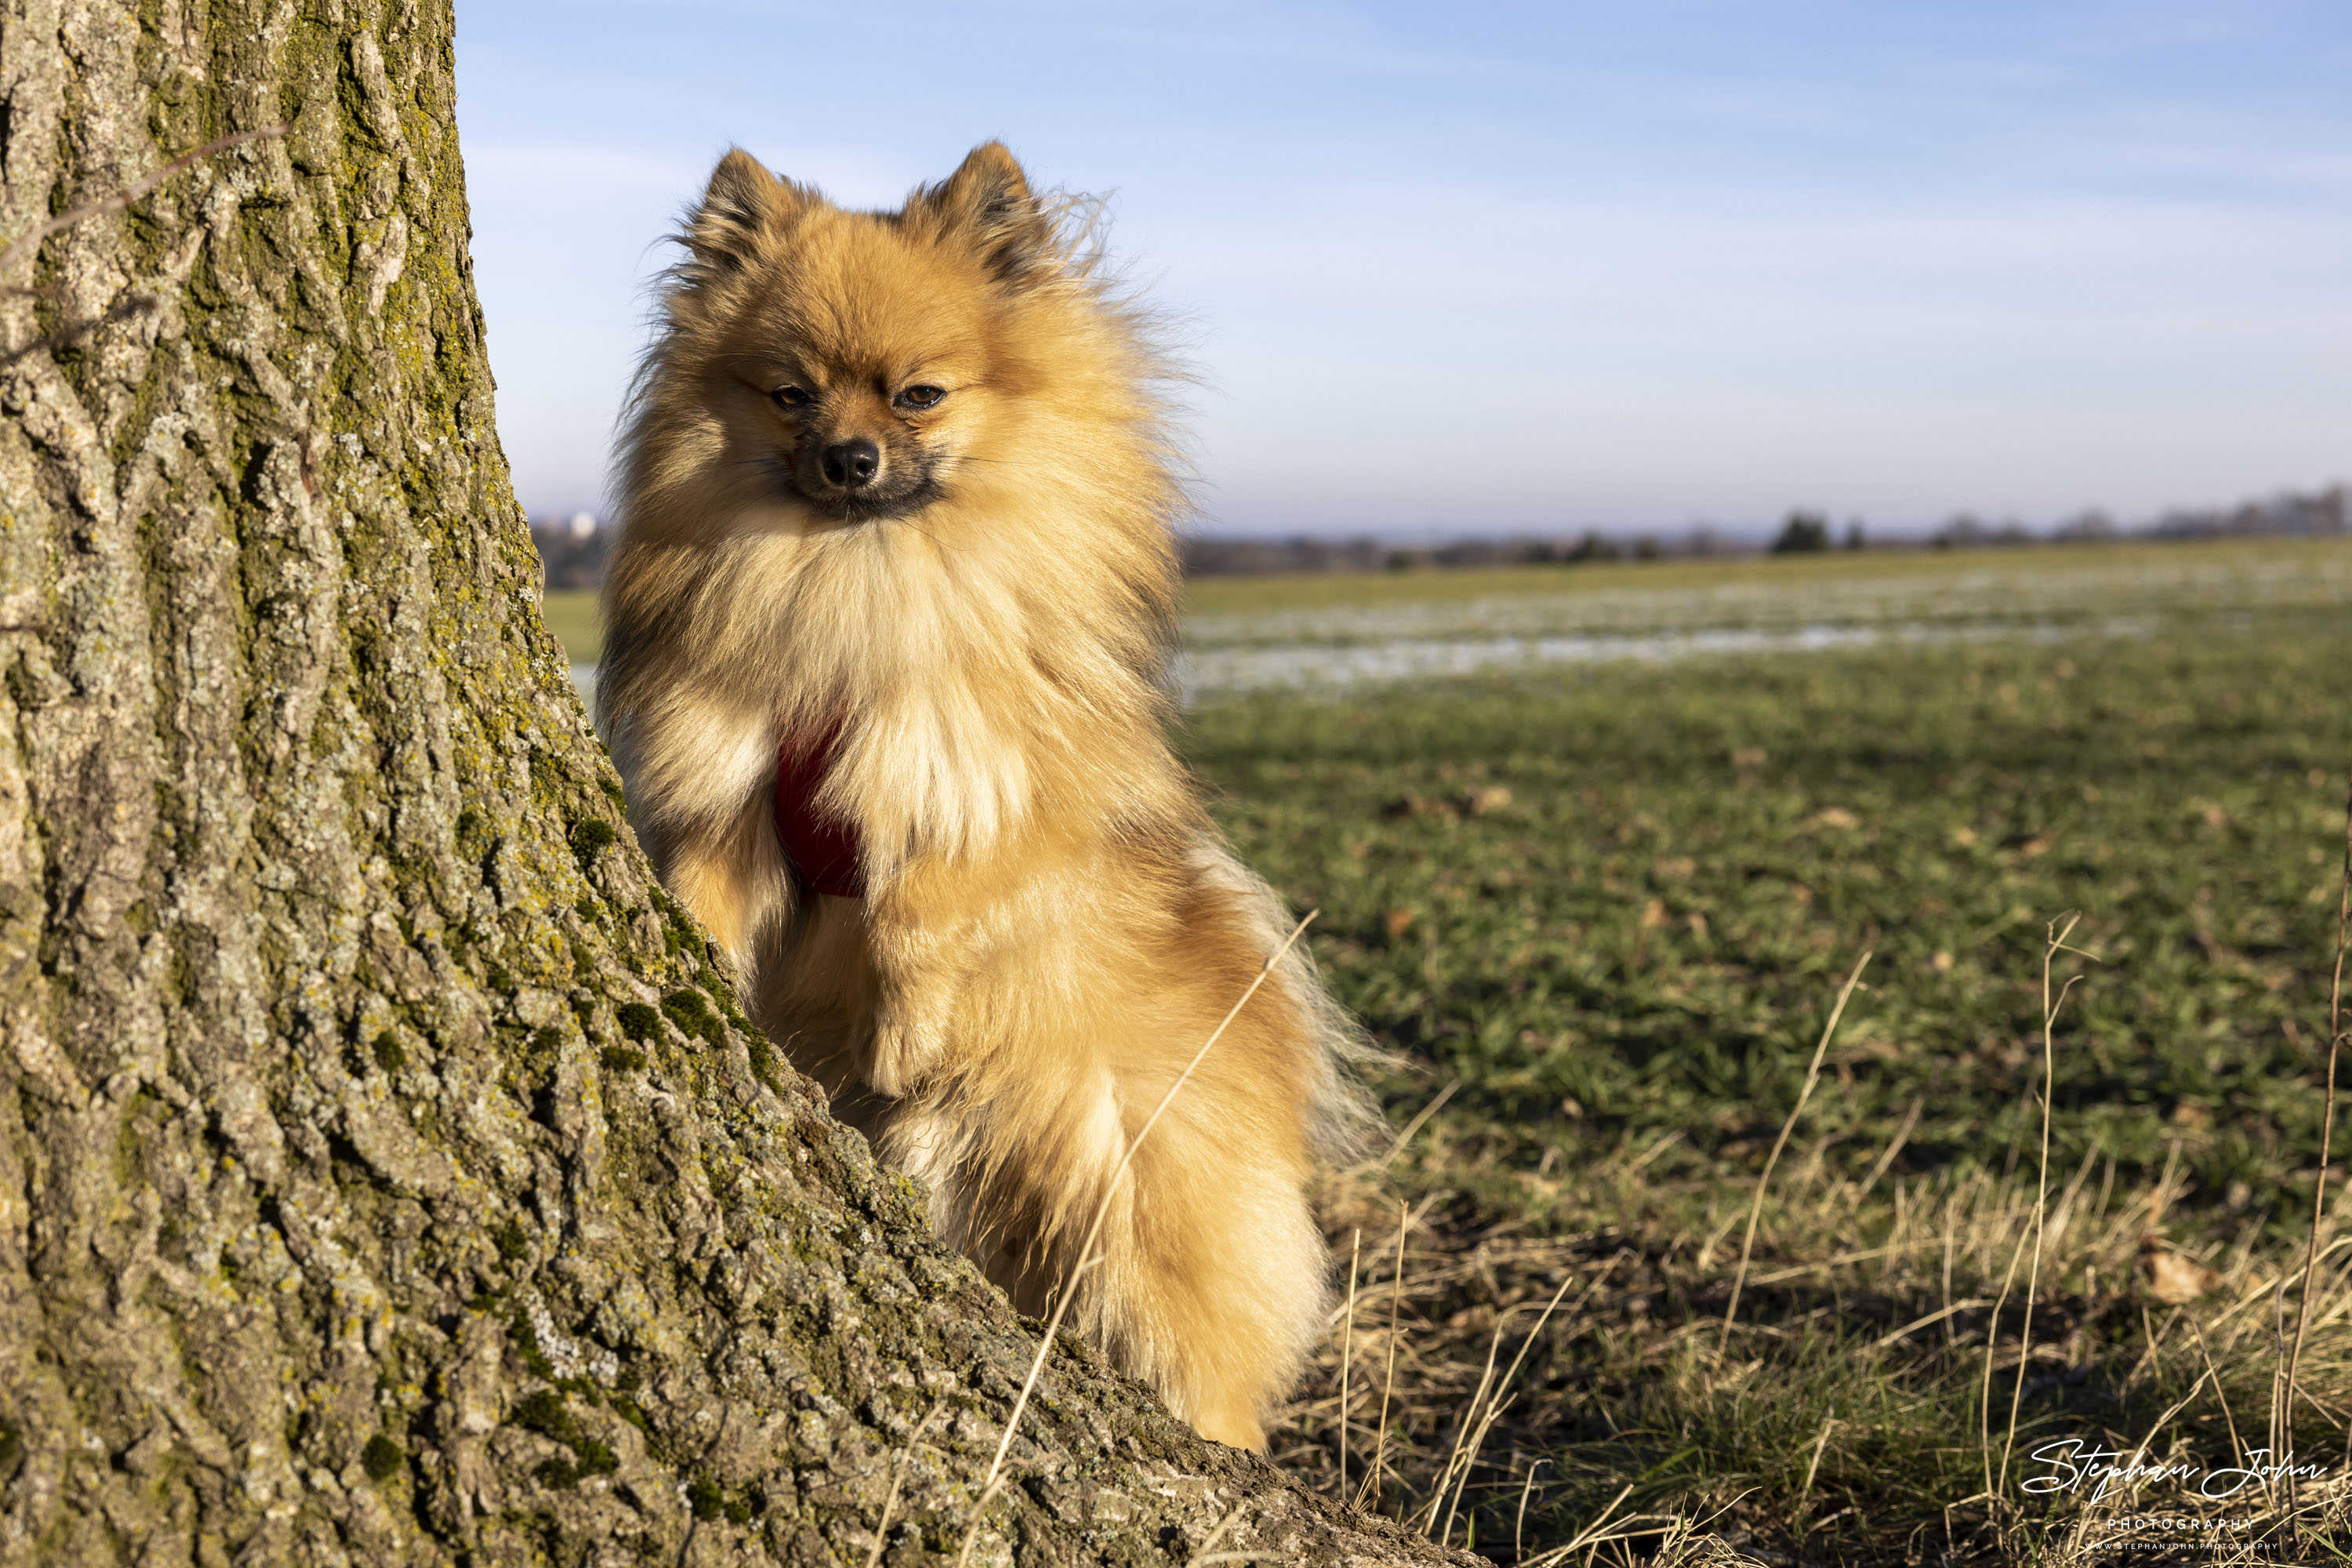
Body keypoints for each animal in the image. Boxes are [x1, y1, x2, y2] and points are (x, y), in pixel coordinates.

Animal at [597, 143, 1364, 1448]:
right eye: (791, 396)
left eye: (917, 397)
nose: (848, 460)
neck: (853, 586)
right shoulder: (730, 800)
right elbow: (706, 889)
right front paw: (696, 965)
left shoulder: (989, 791)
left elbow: (927, 907)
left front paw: (905, 1033)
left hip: (1133, 1202)